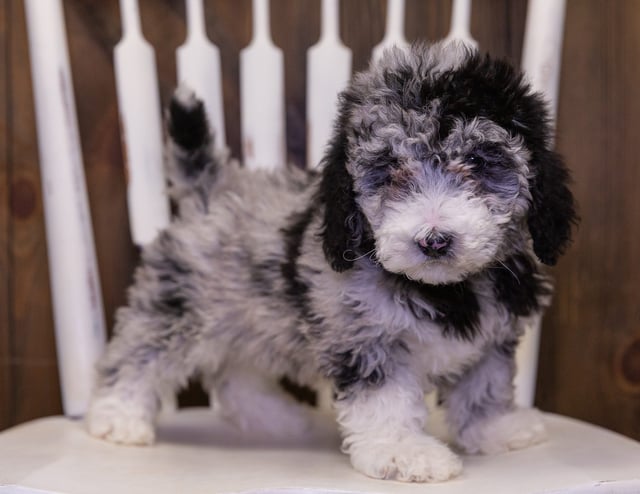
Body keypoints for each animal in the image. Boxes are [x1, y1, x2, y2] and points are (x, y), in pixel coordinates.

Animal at [86, 42, 576, 482]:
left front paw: (496, 428)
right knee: (143, 353)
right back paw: (117, 415)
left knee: (235, 375)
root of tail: (212, 189)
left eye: (478, 161)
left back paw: (273, 417)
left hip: (250, 317)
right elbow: (386, 398)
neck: (444, 288)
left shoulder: (493, 338)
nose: (434, 240)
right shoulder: (364, 337)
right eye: (390, 168)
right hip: (177, 306)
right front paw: (404, 452)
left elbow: (484, 386)